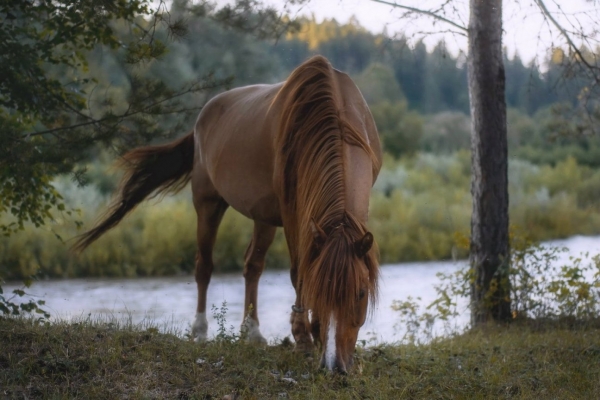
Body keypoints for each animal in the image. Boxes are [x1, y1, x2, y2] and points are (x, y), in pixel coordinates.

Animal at [75, 54, 382, 374]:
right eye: (320, 291)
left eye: (361, 293)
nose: (335, 365)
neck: (332, 114)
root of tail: (202, 118)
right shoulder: (293, 213)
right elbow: (299, 272)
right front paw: (303, 341)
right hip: (208, 203)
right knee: (204, 266)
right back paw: (200, 330)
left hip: (263, 215)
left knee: (252, 266)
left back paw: (252, 332)